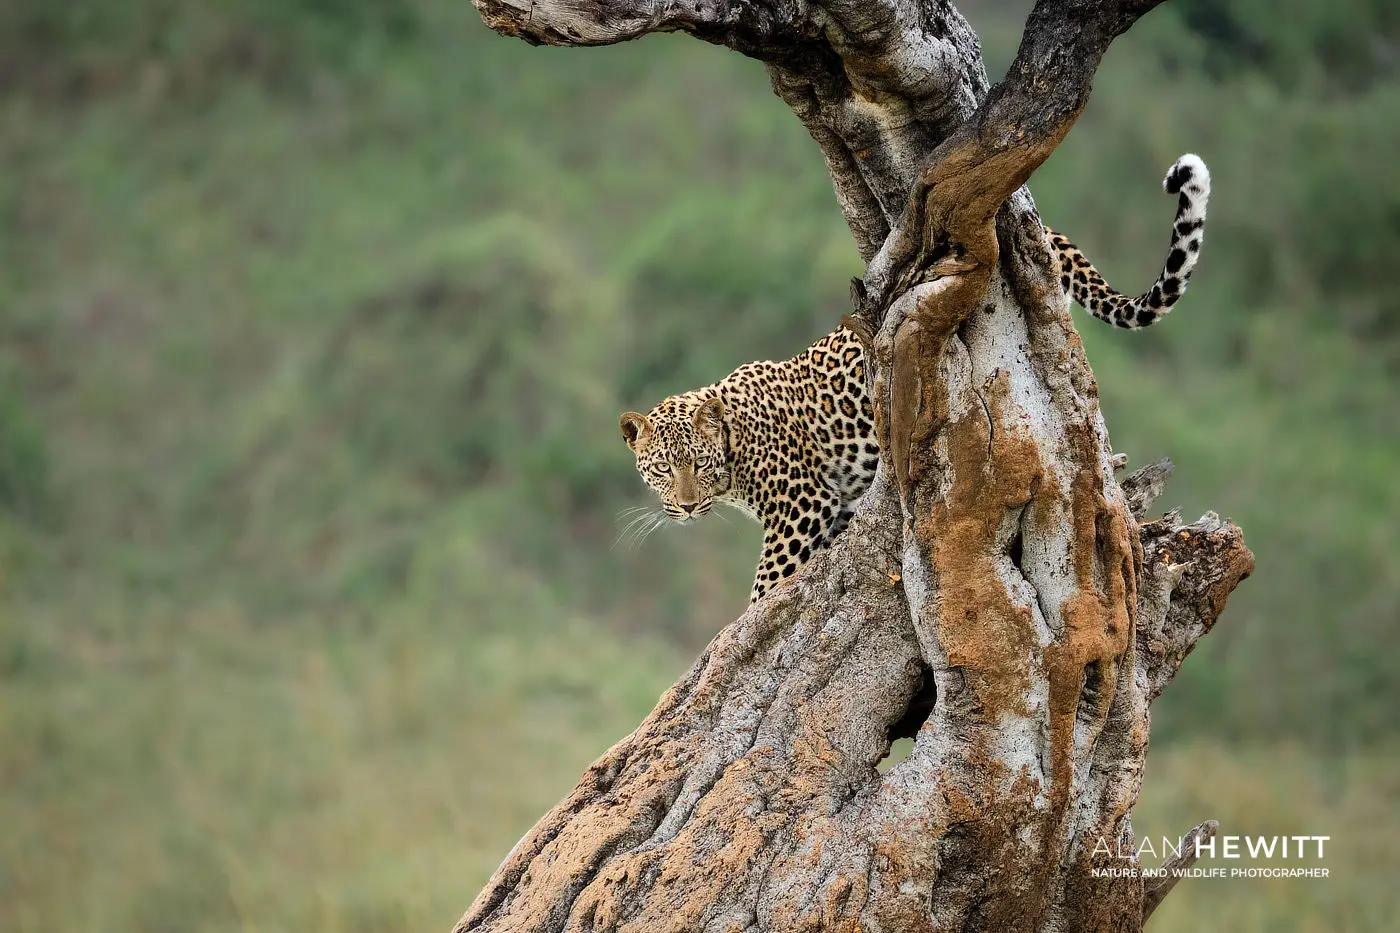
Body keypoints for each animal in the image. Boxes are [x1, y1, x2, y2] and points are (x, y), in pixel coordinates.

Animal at [620, 154, 1210, 603]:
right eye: (662, 470)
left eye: (698, 463)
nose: (687, 506)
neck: (734, 449)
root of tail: (1047, 231)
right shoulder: (832, 509)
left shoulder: (800, 507)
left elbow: (767, 585)